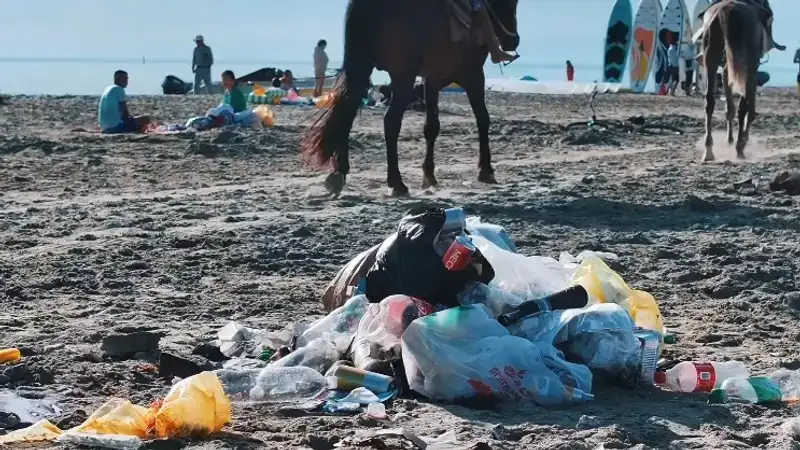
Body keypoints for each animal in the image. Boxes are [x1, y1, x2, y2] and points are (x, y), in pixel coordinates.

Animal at [298, 0, 520, 197]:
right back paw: (396, 183)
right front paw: (486, 170)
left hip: (363, 68)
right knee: (390, 122)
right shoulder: (473, 75)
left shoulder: (432, 79)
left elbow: (431, 127)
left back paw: (339, 173)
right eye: (513, 2)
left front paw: (429, 177)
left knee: (347, 113)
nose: (514, 41)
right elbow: (483, 118)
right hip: (403, 76)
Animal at [696, 0, 784, 162]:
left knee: (710, 101)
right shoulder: (751, 69)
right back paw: (739, 147)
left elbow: (729, 108)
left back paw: (709, 150)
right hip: (747, 65)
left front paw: (729, 140)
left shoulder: (727, 70)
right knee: (744, 107)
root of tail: (727, 9)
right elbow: (749, 108)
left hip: (711, 56)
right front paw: (740, 141)